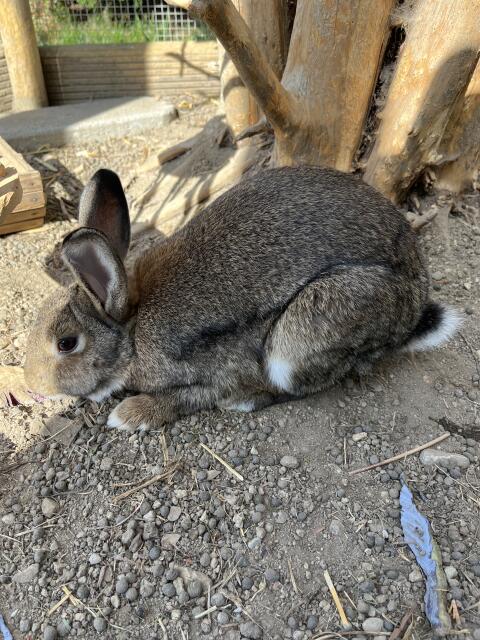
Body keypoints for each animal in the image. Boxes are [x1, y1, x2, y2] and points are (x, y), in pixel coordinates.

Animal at [24, 166, 461, 431]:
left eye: (67, 343)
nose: (33, 386)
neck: (130, 328)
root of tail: (414, 304)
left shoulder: (212, 371)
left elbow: (189, 397)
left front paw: (129, 415)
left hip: (304, 333)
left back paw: (245, 402)